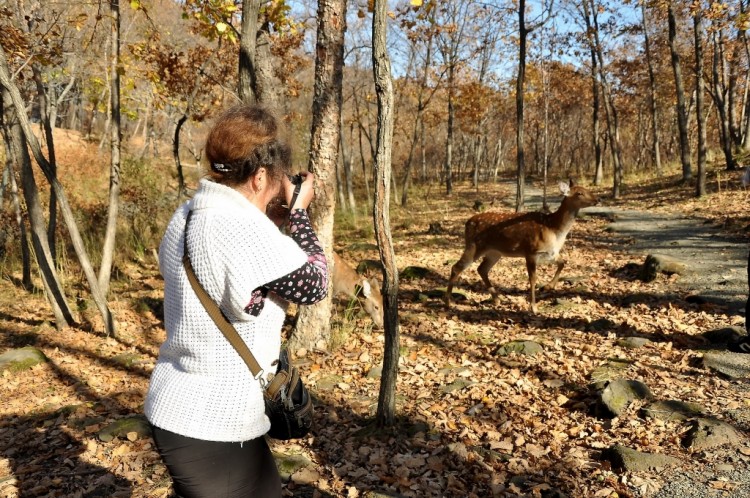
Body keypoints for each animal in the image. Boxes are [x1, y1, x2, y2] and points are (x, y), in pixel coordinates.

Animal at [446, 179, 600, 312]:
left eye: (586, 189)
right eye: (579, 193)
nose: (597, 199)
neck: (553, 229)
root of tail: (467, 223)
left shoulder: (551, 253)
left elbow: (563, 263)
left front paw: (548, 287)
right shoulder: (531, 251)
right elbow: (533, 279)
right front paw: (533, 307)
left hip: (494, 252)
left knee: (482, 269)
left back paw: (497, 299)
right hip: (474, 245)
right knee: (457, 267)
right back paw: (449, 301)